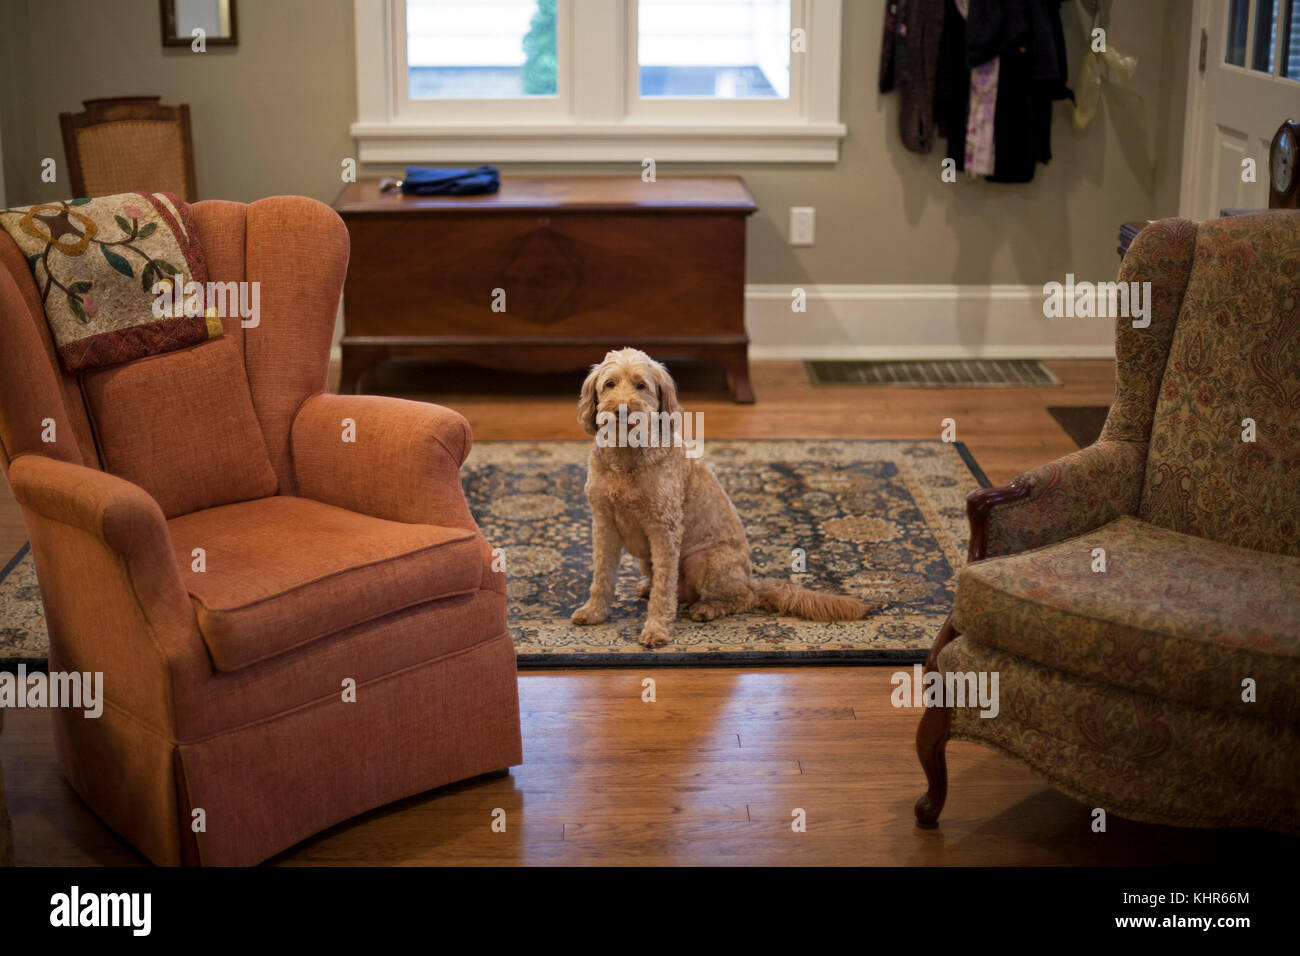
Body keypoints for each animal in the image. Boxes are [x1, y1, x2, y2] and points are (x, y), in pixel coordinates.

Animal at [572, 348, 868, 647]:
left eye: (641, 385)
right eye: (610, 384)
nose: (621, 409)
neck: (626, 456)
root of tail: (752, 580)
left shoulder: (664, 530)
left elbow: (664, 592)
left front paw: (656, 630)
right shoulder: (604, 524)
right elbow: (602, 575)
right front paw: (594, 612)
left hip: (703, 560)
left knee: (740, 599)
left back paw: (707, 609)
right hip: (648, 559)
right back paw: (650, 587)